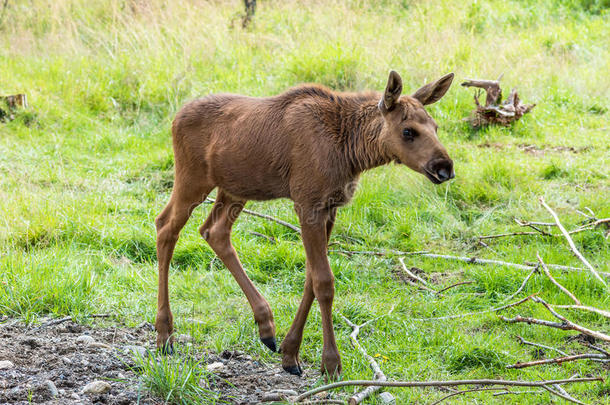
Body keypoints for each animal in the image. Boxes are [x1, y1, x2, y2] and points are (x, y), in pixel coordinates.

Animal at [154, 69, 454, 376]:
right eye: (408, 131)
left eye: (435, 127)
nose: (445, 167)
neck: (352, 151)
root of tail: (175, 118)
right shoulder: (307, 204)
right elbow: (324, 281)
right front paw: (331, 362)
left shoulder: (330, 208)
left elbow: (311, 277)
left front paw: (290, 352)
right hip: (192, 179)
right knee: (165, 226)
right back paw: (165, 334)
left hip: (234, 189)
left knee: (213, 231)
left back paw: (265, 326)